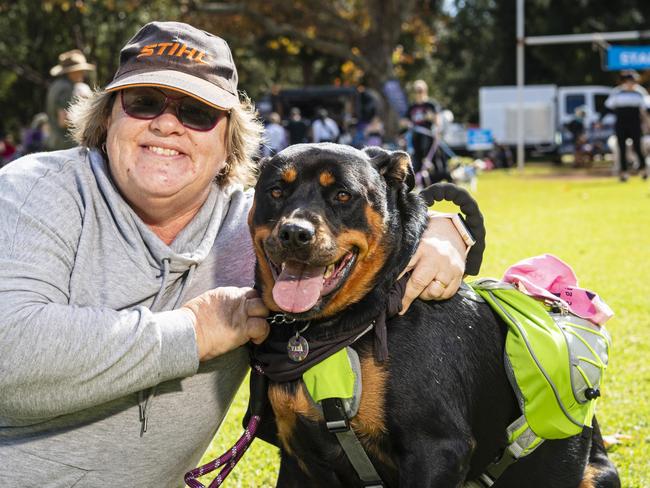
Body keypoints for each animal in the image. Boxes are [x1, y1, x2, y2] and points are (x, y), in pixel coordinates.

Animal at [246, 143, 616, 486]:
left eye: (342, 195)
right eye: (275, 191)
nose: (295, 233)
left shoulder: (437, 449)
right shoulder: (299, 458)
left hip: (595, 474)